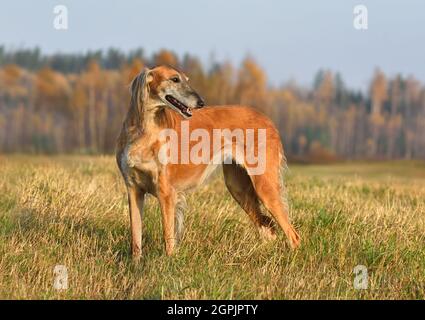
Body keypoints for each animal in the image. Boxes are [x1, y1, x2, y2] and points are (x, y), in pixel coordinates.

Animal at [115, 65, 298, 260]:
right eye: (175, 79)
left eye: (186, 79)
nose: (201, 102)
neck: (144, 130)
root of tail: (268, 119)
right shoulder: (133, 189)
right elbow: (136, 238)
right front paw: (135, 263)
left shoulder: (166, 191)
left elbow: (168, 236)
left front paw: (169, 261)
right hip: (238, 187)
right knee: (268, 227)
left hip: (264, 186)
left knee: (293, 235)